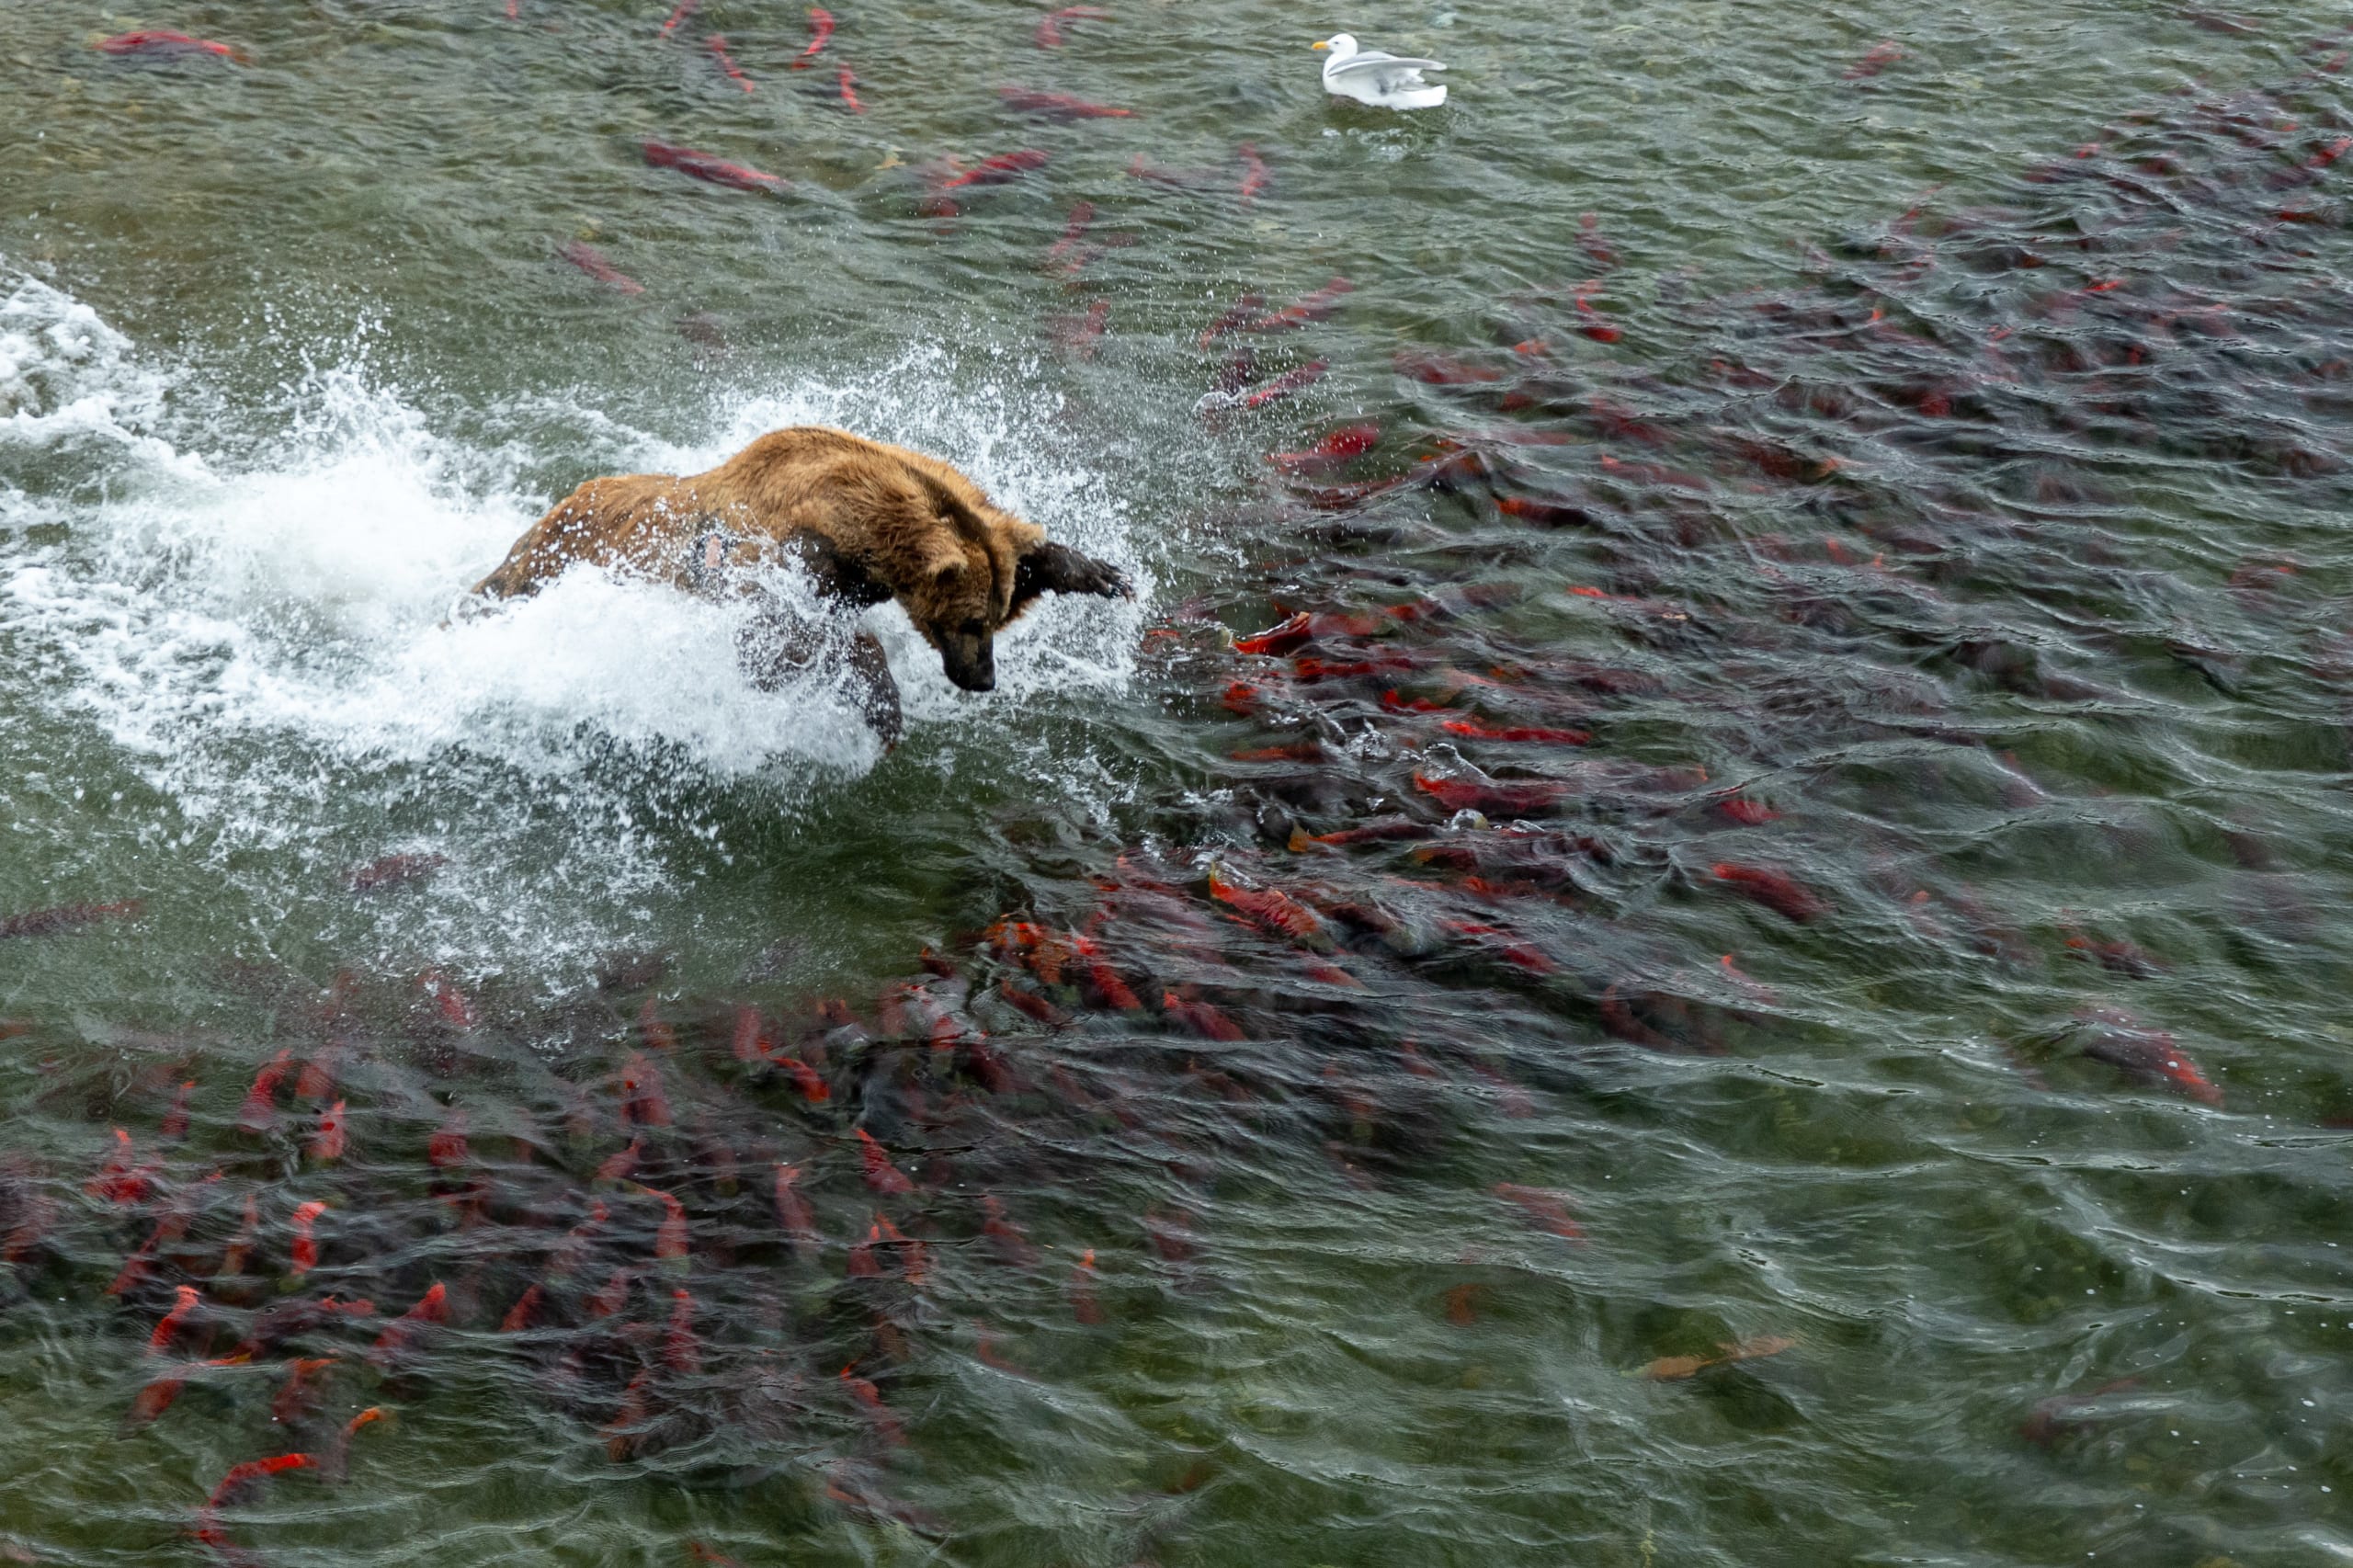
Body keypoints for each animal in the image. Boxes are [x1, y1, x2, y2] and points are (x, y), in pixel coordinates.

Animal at [466, 426, 1131, 747]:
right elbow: (780, 636)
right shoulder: (778, 556)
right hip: (561, 554)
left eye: (994, 619)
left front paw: (1097, 573)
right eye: (970, 623)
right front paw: (882, 703)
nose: (985, 678)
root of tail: (567, 496)